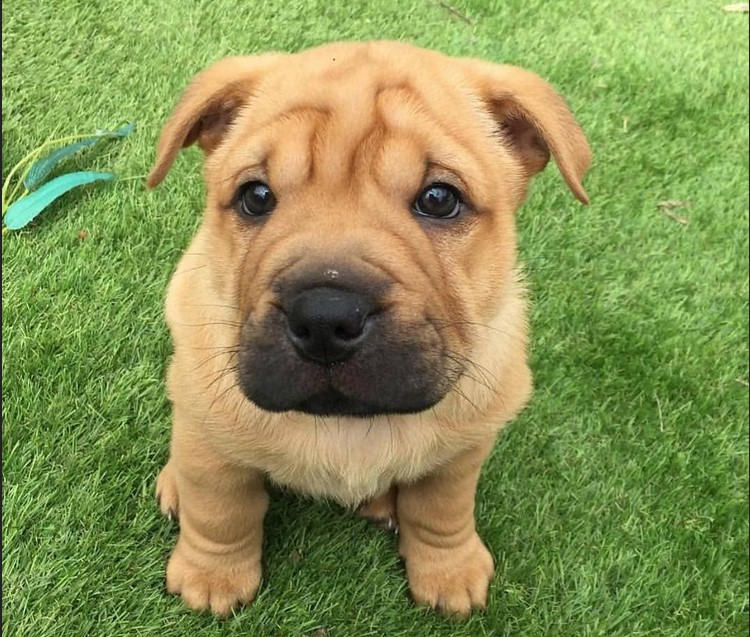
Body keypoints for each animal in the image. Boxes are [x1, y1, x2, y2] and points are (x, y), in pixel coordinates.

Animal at [148, 39, 592, 616]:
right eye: (256, 197)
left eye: (439, 199)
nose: (324, 316)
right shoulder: (209, 432)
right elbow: (221, 510)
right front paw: (212, 576)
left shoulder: (463, 449)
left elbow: (442, 510)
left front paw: (449, 570)